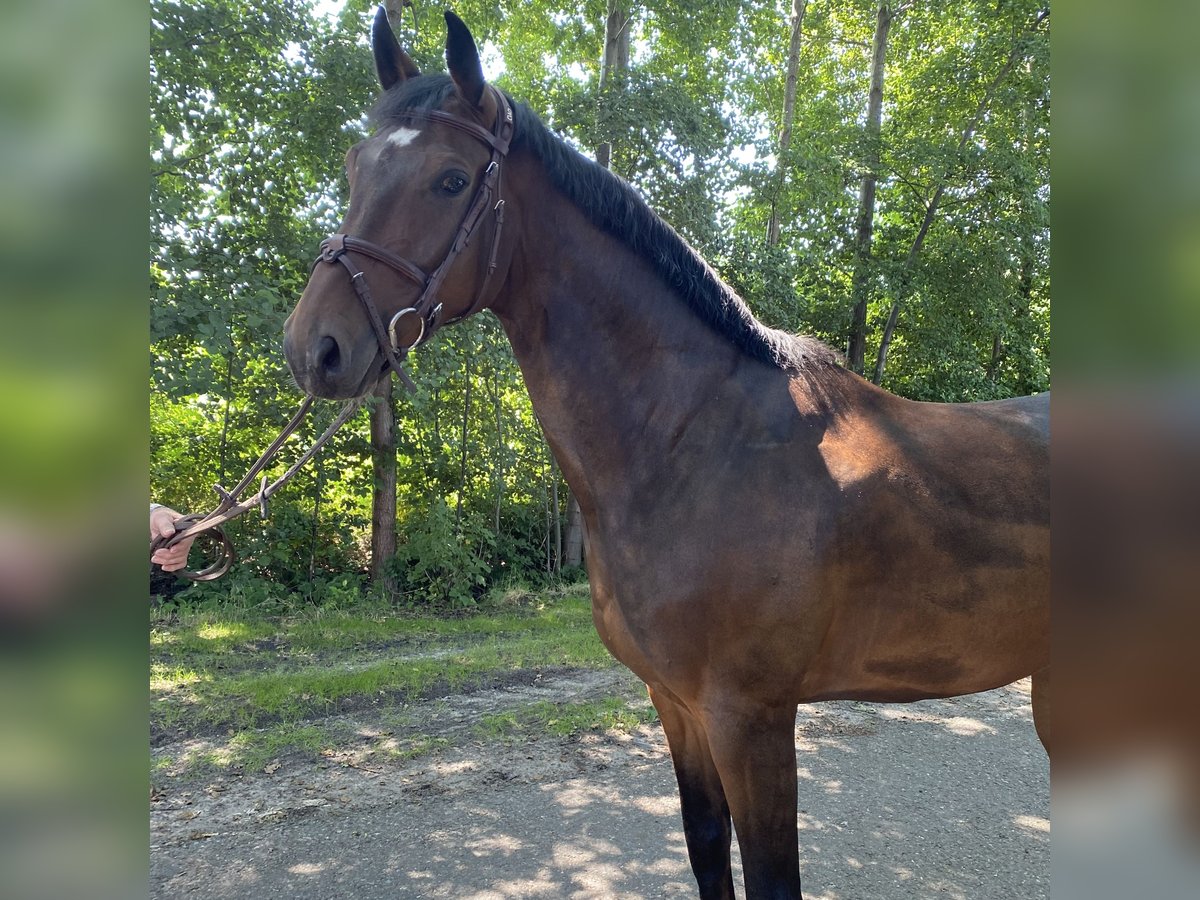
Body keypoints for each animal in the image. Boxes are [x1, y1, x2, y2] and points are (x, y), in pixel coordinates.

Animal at [283, 8, 1051, 900]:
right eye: (355, 166)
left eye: (449, 179)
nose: (316, 348)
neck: (692, 446)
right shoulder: (675, 704)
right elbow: (705, 845)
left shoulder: (751, 717)